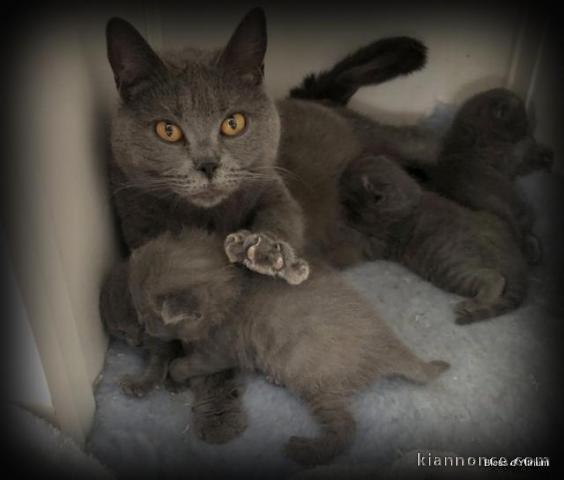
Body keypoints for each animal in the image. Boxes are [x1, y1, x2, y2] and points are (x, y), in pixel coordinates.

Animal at [128, 229, 450, 464]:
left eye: (146, 315)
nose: (144, 329)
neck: (230, 291)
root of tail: (387, 343)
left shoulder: (219, 350)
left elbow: (188, 363)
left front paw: (176, 375)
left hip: (317, 379)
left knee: (346, 428)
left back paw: (306, 450)